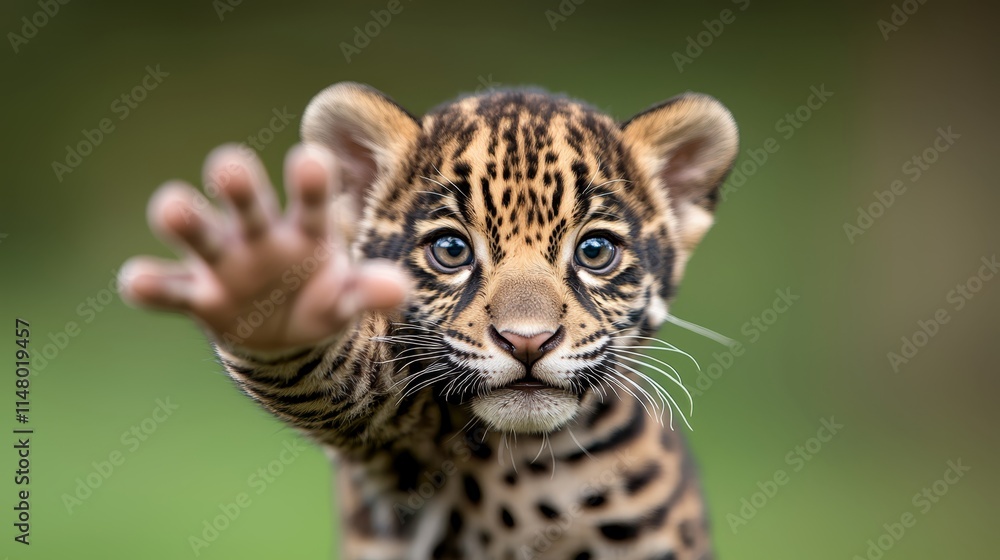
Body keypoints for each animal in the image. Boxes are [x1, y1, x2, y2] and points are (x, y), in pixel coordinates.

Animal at [120, 82, 739, 560]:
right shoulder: (395, 429)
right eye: (450, 250)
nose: (528, 341)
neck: (532, 467)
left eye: (594, 252)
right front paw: (268, 280)